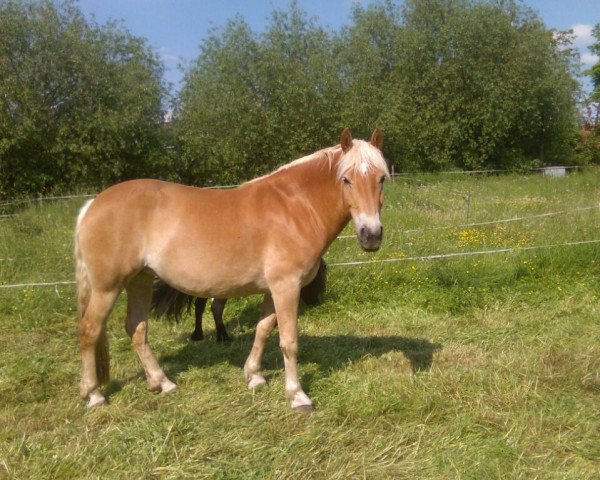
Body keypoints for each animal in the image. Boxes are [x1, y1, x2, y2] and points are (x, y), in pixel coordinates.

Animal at [150, 258, 328, 342]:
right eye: (318, 279)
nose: (316, 301)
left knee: (205, 306)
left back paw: (207, 336)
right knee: (212, 307)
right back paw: (217, 336)